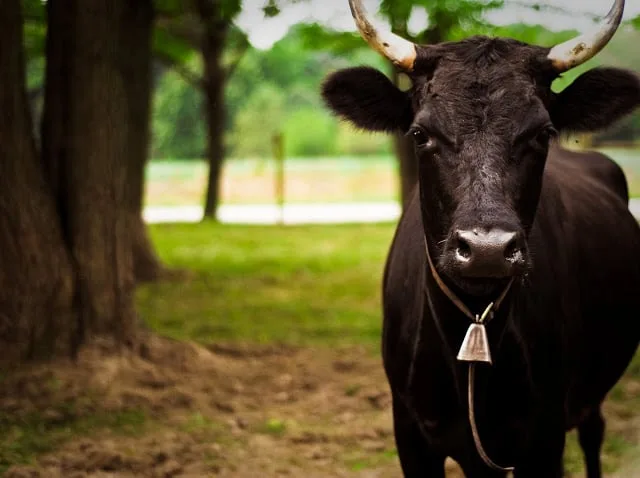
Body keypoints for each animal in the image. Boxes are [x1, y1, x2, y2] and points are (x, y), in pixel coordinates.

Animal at [321, 0, 640, 476]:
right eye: (420, 133)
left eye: (543, 133)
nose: (487, 250)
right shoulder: (411, 435)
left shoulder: (544, 437)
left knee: (594, 434)